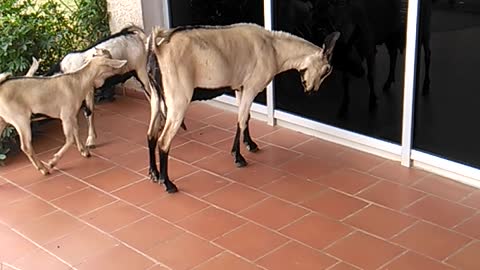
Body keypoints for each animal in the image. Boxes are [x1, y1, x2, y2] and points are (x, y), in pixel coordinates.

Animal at [145, 22, 338, 192]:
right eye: (326, 69)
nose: (312, 91)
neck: (274, 48)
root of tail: (158, 50)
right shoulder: (252, 86)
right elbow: (242, 119)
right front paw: (239, 157)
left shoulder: (240, 87)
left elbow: (245, 117)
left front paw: (250, 144)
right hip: (178, 99)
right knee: (164, 140)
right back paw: (167, 183)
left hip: (155, 97)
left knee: (151, 134)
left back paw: (154, 173)